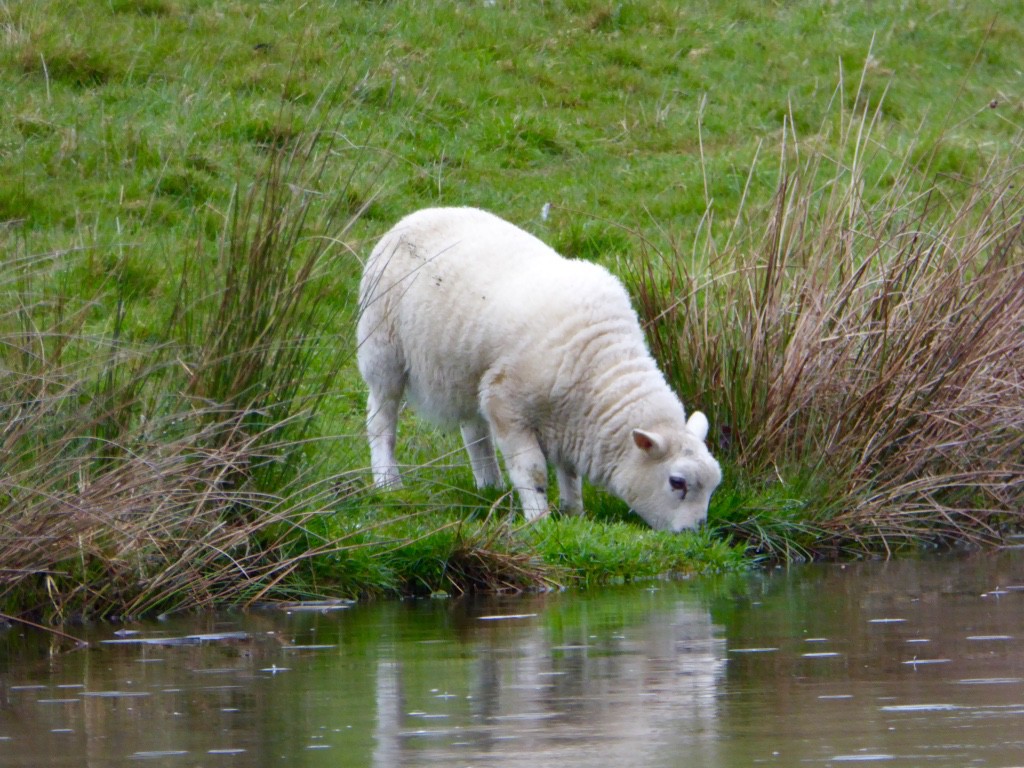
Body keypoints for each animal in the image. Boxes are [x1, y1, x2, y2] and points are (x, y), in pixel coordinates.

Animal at [356, 210, 724, 536]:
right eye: (677, 482)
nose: (693, 534)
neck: (601, 365)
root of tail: (416, 216)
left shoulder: (569, 421)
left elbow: (570, 472)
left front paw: (574, 513)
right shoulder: (508, 406)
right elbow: (532, 471)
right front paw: (539, 519)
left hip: (466, 370)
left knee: (475, 433)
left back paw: (490, 485)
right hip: (382, 349)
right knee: (381, 420)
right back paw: (388, 481)